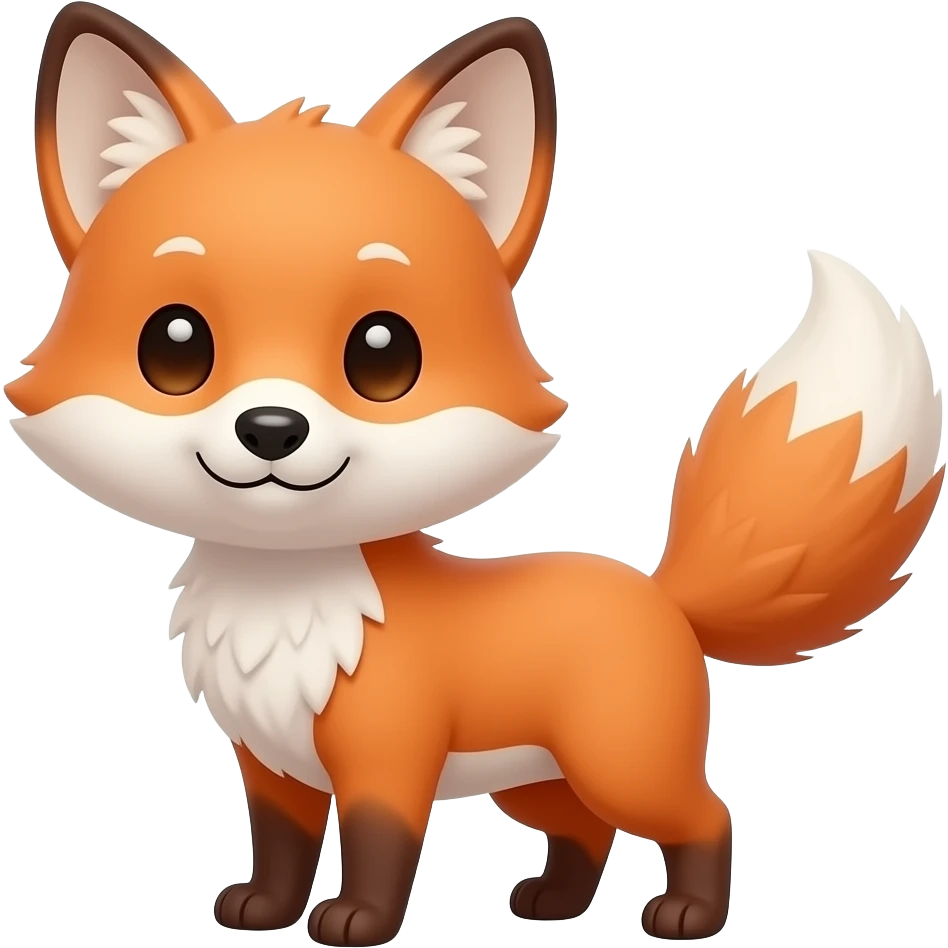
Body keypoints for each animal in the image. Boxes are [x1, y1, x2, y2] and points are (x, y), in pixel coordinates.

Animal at [15, 3, 945, 945]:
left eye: (383, 355)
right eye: (175, 348)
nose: (271, 428)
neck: (284, 601)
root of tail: (663, 596)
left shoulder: (389, 755)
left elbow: (380, 845)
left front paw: (357, 921)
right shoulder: (272, 763)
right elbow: (278, 847)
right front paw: (263, 911)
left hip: (619, 761)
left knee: (704, 813)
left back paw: (687, 914)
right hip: (533, 780)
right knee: (587, 832)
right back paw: (552, 905)